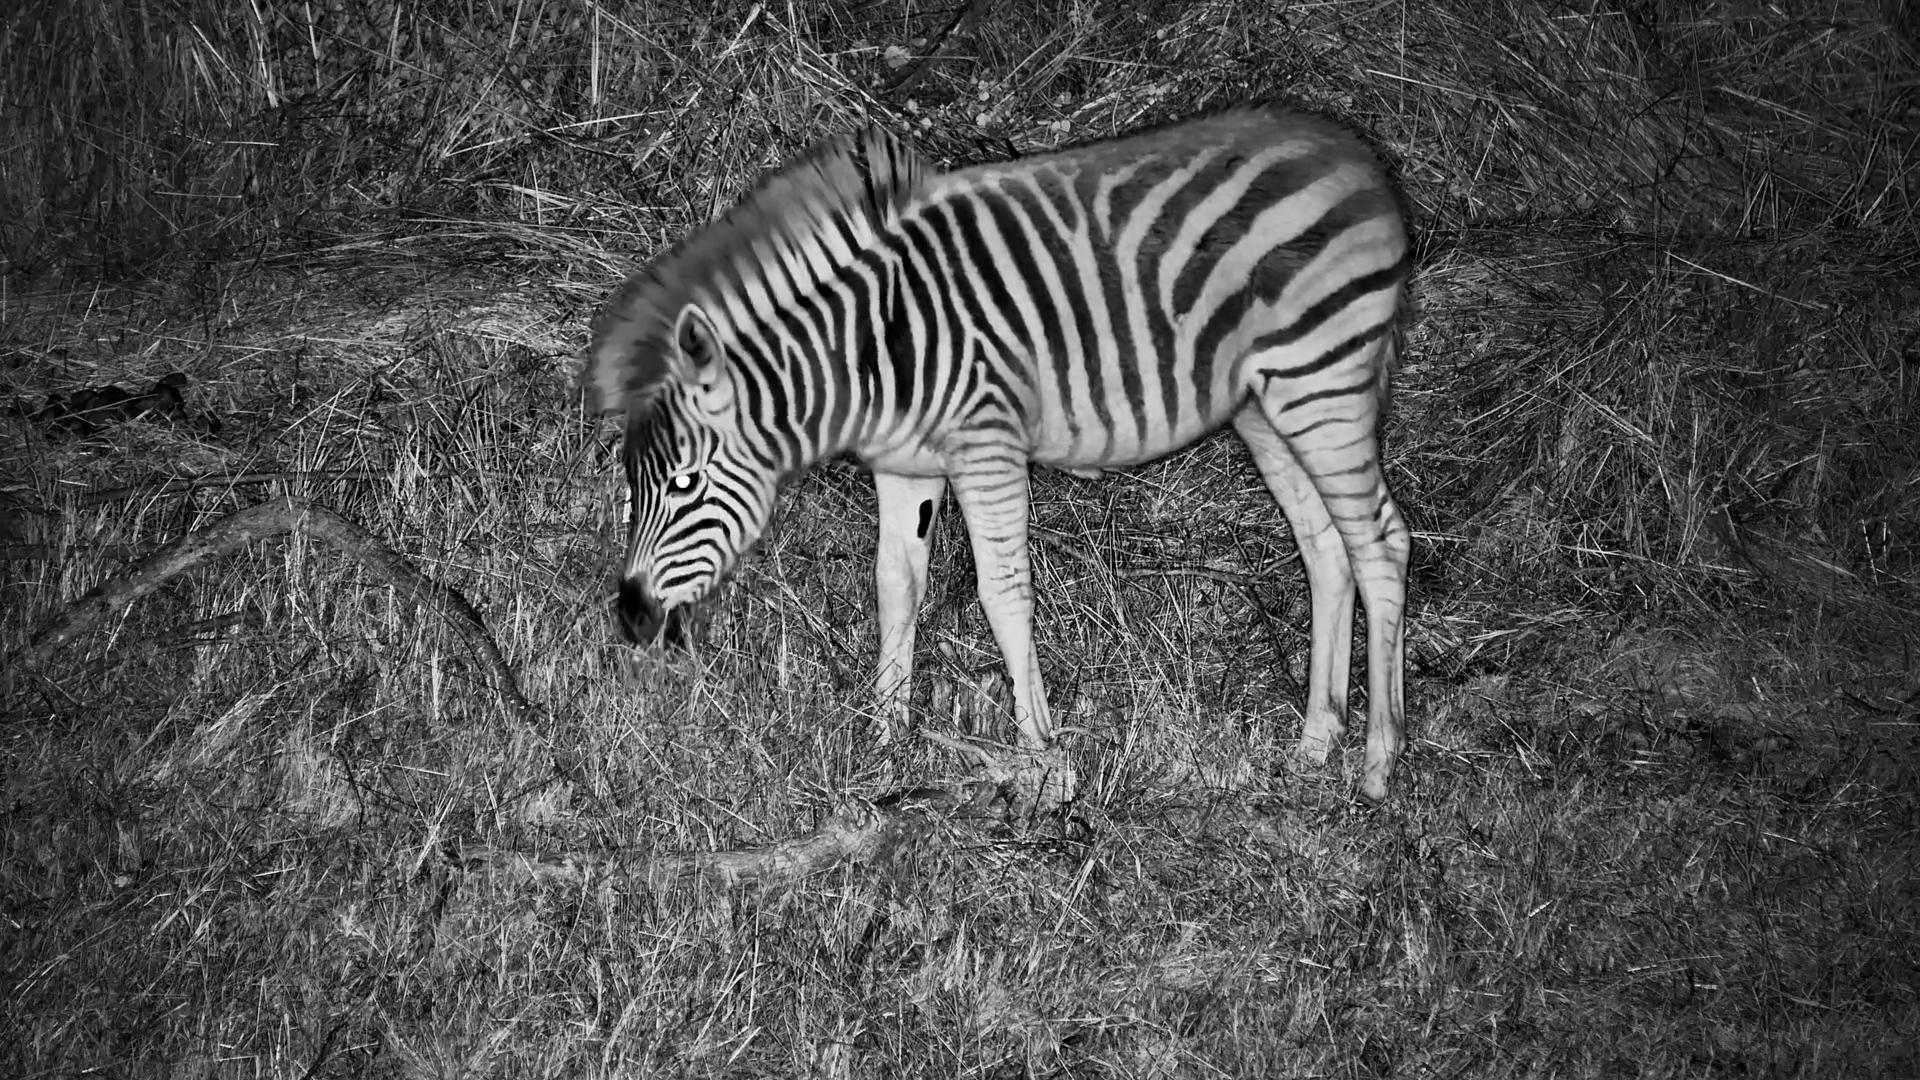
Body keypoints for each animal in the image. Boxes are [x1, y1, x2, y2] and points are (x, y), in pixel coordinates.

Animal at [585, 105, 1413, 800]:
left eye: (686, 482)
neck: (871, 353)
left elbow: (1003, 592)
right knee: (1325, 546)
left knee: (1381, 542)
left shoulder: (987, 445)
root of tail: (1351, 154)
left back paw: (1379, 763)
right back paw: (1316, 744)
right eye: (634, 485)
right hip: (1265, 408)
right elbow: (896, 586)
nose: (632, 617)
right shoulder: (906, 466)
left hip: (1323, 380)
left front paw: (1043, 757)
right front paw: (884, 743)